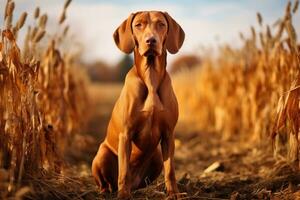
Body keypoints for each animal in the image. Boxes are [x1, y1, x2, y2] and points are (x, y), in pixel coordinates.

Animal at [92, 10, 185, 198]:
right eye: (138, 25)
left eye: (161, 24)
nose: (151, 40)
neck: (151, 78)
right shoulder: (126, 135)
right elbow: (123, 171)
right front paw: (123, 196)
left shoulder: (168, 134)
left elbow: (170, 170)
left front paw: (174, 194)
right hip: (101, 154)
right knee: (107, 182)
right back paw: (107, 191)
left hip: (157, 157)